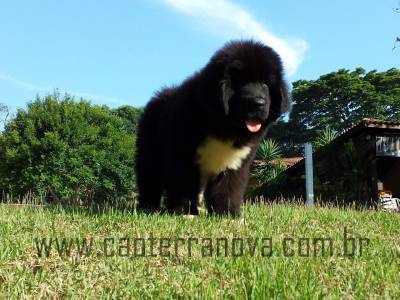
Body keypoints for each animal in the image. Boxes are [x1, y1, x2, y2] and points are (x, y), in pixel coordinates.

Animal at [136, 40, 290, 216]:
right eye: (240, 82)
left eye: (265, 84)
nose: (258, 103)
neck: (222, 126)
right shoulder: (184, 156)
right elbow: (183, 183)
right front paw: (185, 211)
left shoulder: (234, 162)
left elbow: (228, 187)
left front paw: (226, 213)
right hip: (150, 151)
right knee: (149, 177)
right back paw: (148, 206)